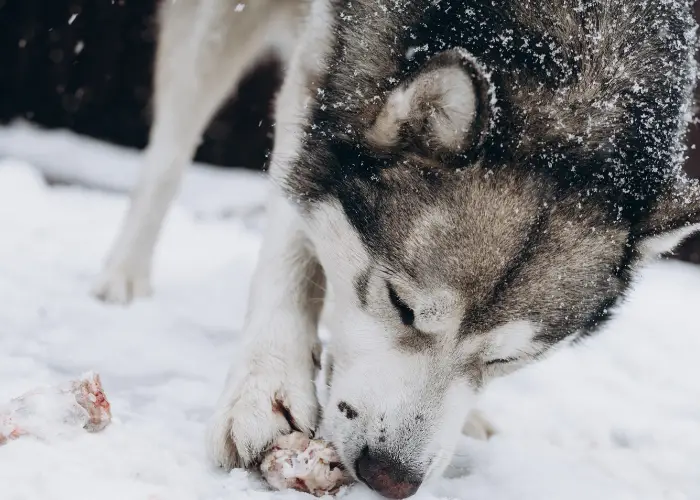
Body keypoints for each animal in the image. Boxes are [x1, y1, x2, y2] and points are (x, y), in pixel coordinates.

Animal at [93, 1, 700, 498]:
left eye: (505, 359)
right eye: (400, 305)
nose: (390, 477)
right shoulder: (324, 71)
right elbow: (293, 244)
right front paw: (267, 387)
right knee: (169, 151)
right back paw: (124, 275)